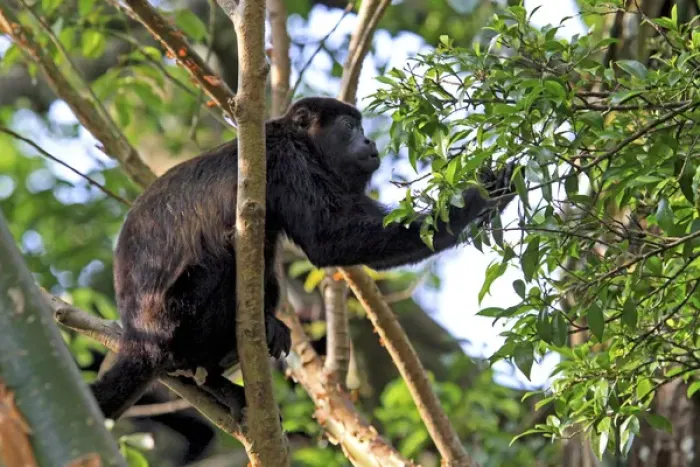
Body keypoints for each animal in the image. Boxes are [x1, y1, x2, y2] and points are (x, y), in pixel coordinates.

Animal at [90, 97, 516, 420]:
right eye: (349, 126)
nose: (370, 140)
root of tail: (139, 338)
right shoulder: (284, 160)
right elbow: (329, 237)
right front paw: (475, 199)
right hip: (182, 316)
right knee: (229, 255)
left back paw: (217, 377)